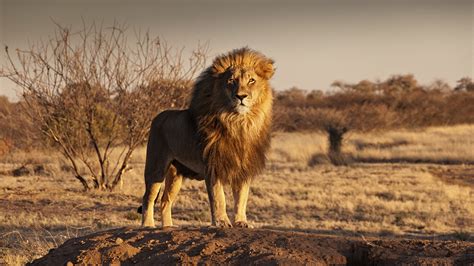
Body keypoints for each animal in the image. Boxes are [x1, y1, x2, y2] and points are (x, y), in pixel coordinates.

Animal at [140, 46, 274, 228]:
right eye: (231, 81)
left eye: (251, 81)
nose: (241, 96)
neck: (238, 124)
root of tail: (158, 116)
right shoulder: (213, 166)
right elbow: (219, 198)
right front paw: (222, 222)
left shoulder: (243, 168)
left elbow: (242, 198)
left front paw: (241, 222)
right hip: (156, 167)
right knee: (148, 197)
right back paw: (148, 225)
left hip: (176, 174)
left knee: (165, 201)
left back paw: (168, 227)